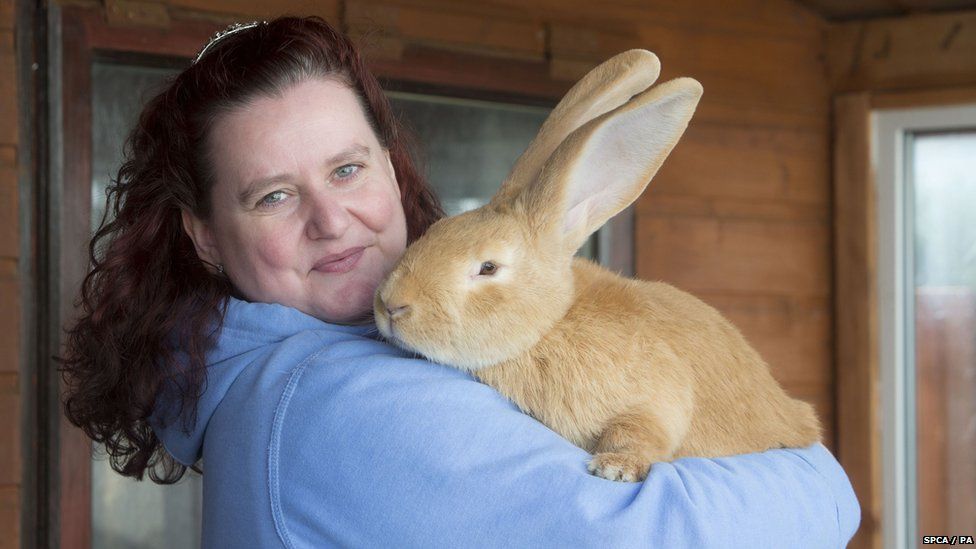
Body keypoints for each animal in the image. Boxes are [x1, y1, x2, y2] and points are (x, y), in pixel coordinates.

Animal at [374, 50, 824, 480]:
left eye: (488, 267)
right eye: (434, 230)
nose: (390, 305)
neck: (551, 325)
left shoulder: (658, 397)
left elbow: (640, 431)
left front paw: (615, 467)